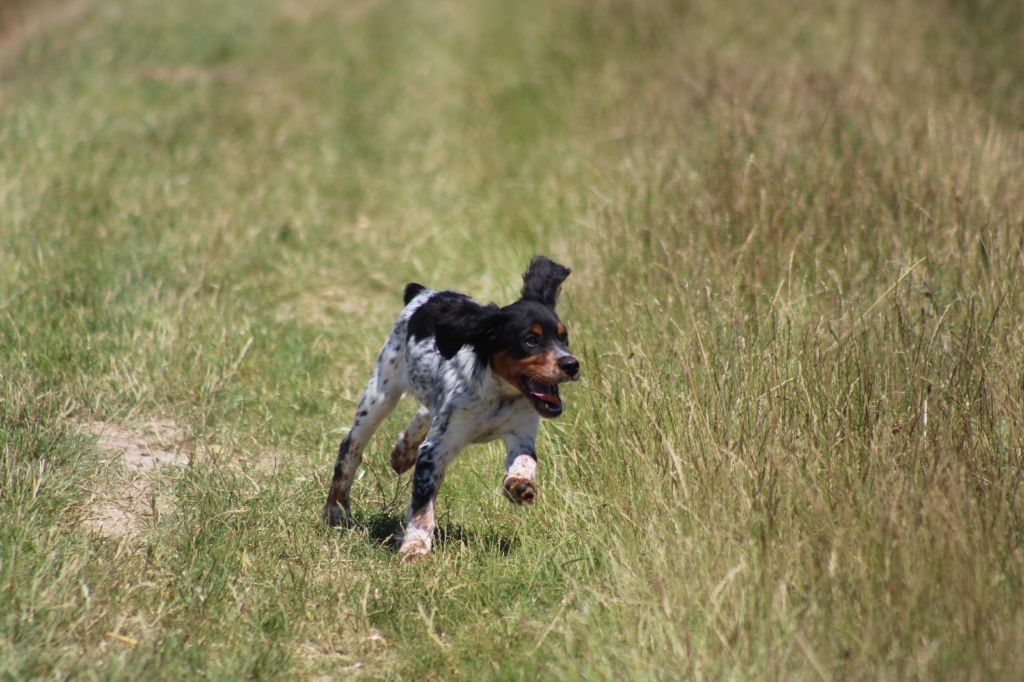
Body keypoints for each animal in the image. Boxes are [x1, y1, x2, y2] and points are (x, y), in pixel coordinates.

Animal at [321, 256, 577, 557]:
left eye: (564, 337)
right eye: (530, 340)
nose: (572, 364)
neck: (499, 392)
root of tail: (423, 292)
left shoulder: (521, 433)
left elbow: (524, 461)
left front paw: (519, 485)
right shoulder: (435, 448)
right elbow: (422, 506)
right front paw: (415, 547)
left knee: (425, 413)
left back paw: (403, 452)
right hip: (381, 392)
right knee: (351, 447)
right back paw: (336, 510)